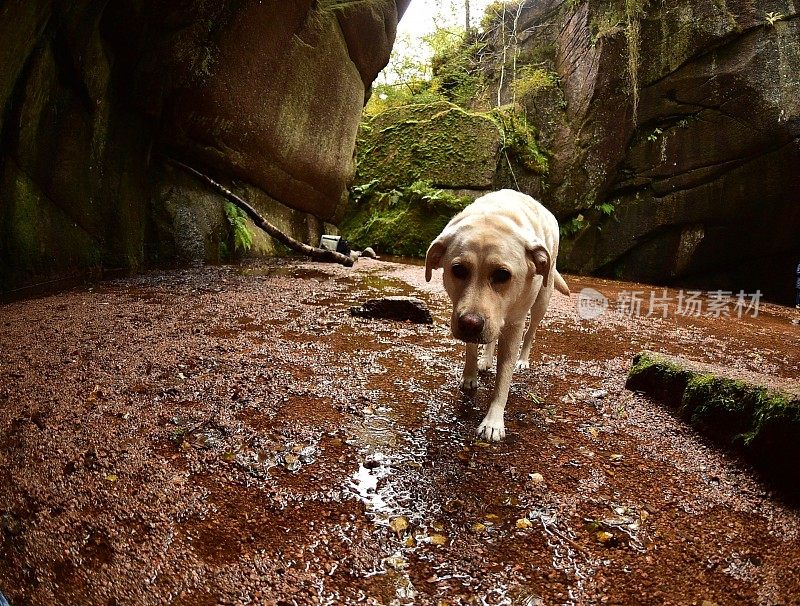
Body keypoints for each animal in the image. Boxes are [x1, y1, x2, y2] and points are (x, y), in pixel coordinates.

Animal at [424, 190, 568, 442]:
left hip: (542, 298)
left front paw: (493, 422)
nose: (470, 324)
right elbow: (471, 349)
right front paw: (470, 375)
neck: (494, 216)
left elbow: (504, 377)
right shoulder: (466, 313)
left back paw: (523, 360)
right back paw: (485, 359)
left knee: (531, 331)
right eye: (458, 270)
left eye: (502, 275)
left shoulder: (513, 325)